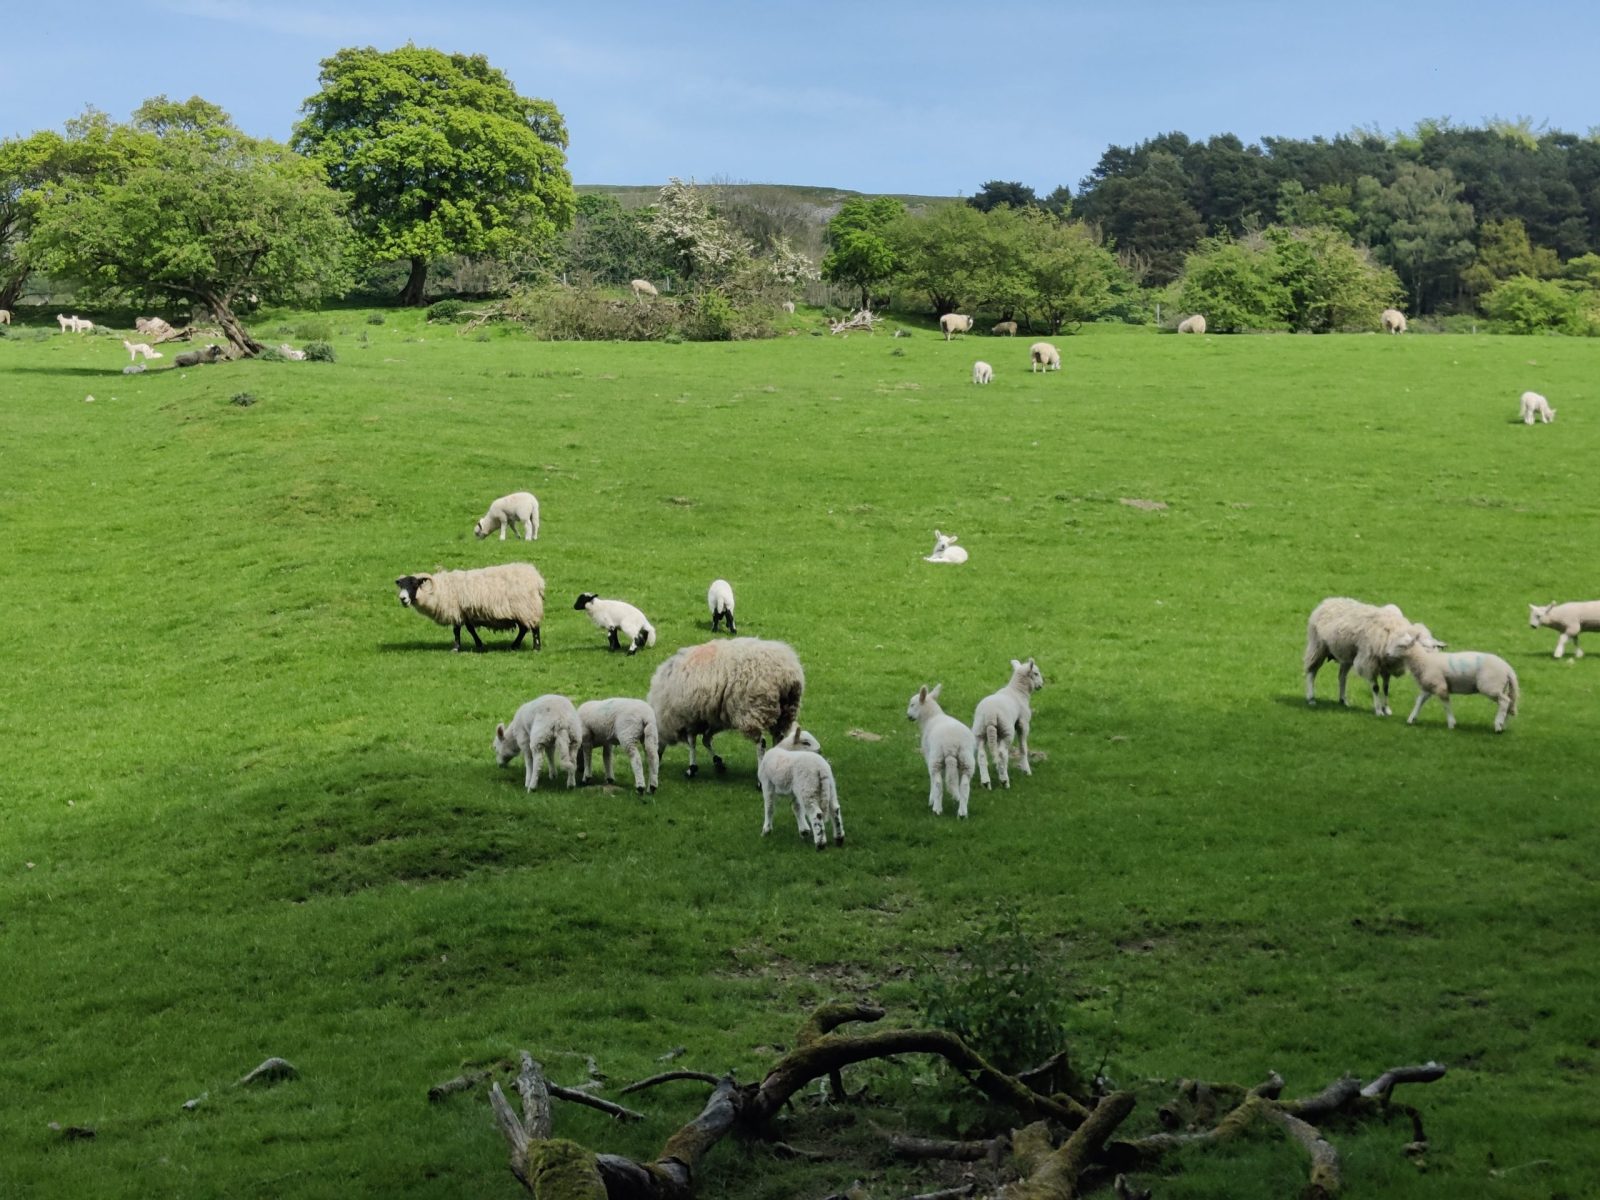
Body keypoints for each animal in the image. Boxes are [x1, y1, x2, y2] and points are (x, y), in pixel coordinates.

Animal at [394, 562, 545, 652]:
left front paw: (456, 648)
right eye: (401, 586)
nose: (403, 599)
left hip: (527, 607)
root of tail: (537, 578)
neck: (439, 589)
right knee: (524, 628)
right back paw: (514, 646)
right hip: (523, 610)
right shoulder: (465, 612)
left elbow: (456, 630)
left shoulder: (456, 610)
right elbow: (470, 629)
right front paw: (479, 645)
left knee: (534, 628)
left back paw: (536, 648)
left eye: (414, 584)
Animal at [647, 637, 805, 777]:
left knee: (761, 743)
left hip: (753, 711)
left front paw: (692, 769)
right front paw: (718, 763)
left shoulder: (688, 719)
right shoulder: (712, 719)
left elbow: (693, 743)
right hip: (785, 711)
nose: (657, 760)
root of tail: (786, 673)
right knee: (778, 738)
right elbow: (706, 740)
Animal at [906, 684, 976, 818]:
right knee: (965, 786)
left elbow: (933, 780)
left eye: (912, 704)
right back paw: (962, 812)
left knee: (938, 783)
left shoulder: (928, 755)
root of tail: (952, 744)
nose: (908, 716)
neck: (931, 717)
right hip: (967, 760)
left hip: (937, 758)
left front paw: (931, 799)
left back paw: (937, 808)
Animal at [972, 657, 1043, 789]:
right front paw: (1026, 770)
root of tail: (990, 714)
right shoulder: (1023, 723)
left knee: (982, 755)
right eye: (1036, 673)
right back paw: (1005, 781)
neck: (1018, 691)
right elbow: (1023, 747)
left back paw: (986, 782)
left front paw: (999, 769)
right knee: (1001, 753)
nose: (1041, 685)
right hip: (1006, 730)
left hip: (980, 731)